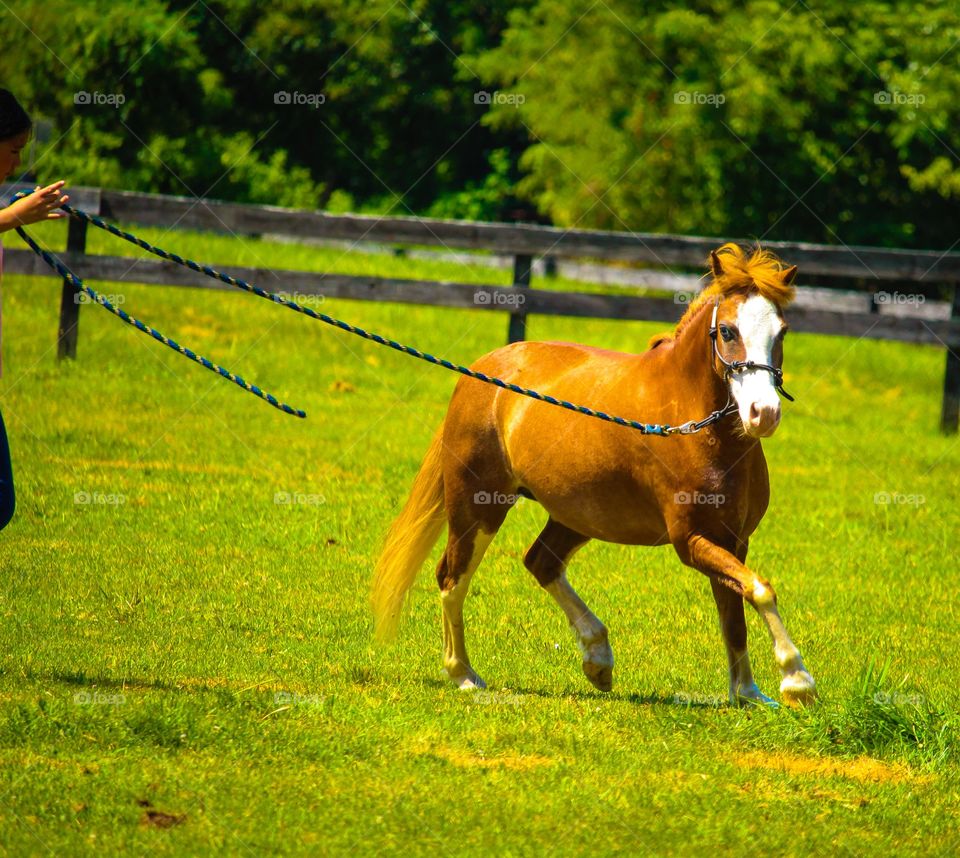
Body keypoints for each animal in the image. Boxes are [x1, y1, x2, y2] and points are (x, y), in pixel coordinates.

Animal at [371, 242, 817, 707]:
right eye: (727, 331)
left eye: (782, 331)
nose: (763, 414)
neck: (690, 423)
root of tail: (482, 370)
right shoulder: (692, 541)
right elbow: (760, 589)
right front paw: (796, 680)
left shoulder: (733, 540)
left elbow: (735, 612)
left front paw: (748, 693)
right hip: (478, 505)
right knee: (452, 577)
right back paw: (463, 674)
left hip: (575, 514)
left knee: (541, 562)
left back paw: (598, 658)